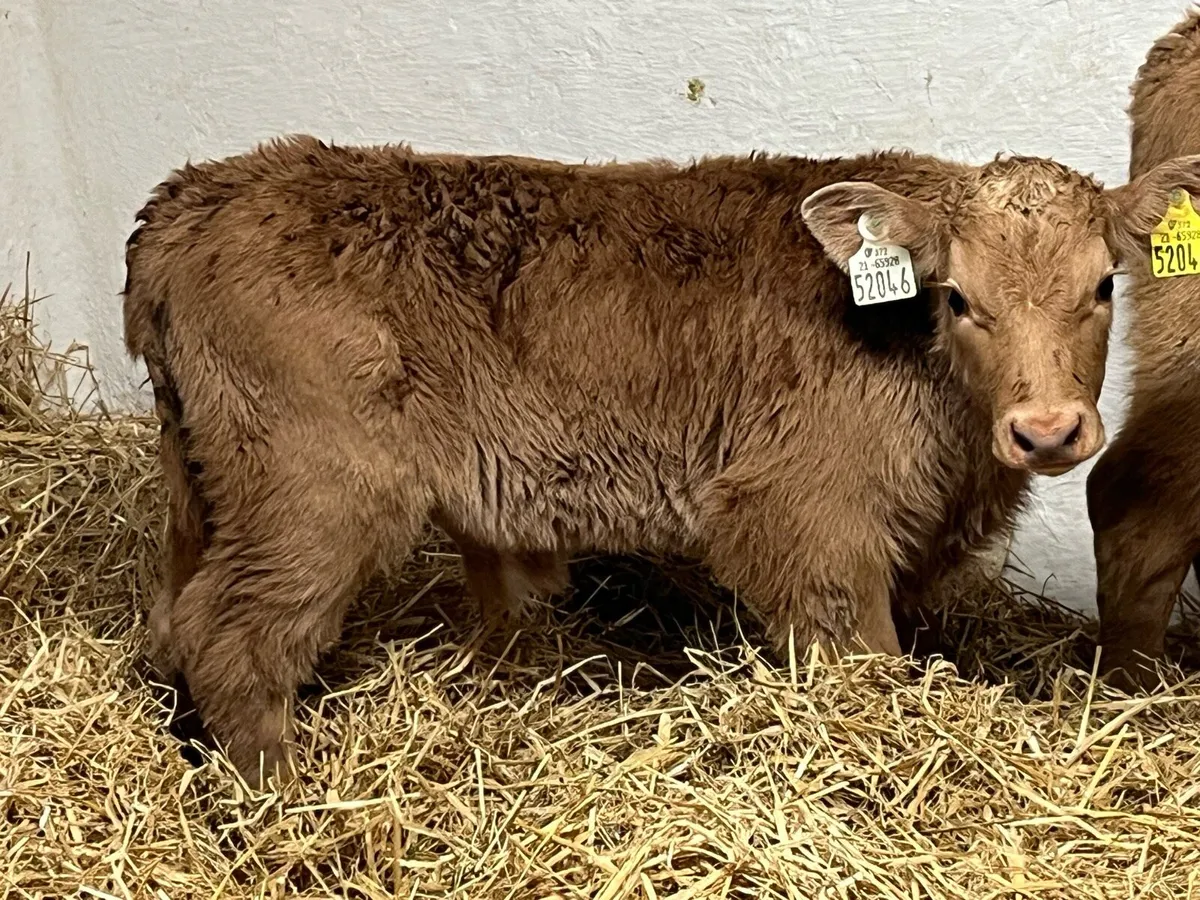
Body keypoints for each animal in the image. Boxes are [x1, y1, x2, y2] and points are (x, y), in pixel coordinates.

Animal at [122, 134, 1200, 785]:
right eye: (960, 298)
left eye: (1106, 286)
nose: (1048, 431)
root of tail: (203, 191)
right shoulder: (806, 524)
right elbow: (864, 668)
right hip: (316, 495)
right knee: (230, 639)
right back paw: (287, 803)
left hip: (211, 494)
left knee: (172, 625)